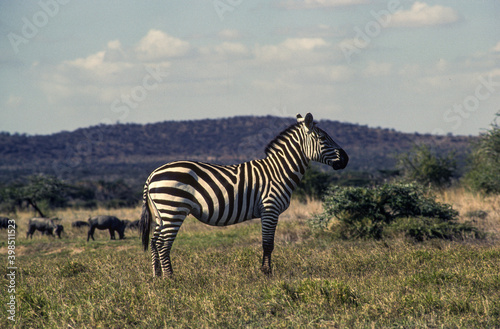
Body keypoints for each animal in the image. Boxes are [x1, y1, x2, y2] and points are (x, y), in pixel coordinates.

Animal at [139, 113, 346, 276]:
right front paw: (266, 272)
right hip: (174, 209)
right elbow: (268, 243)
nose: (346, 159)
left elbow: (268, 243)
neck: (279, 171)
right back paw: (171, 278)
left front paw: (266, 270)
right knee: (164, 244)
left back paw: (157, 276)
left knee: (154, 242)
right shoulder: (270, 209)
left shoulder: (268, 211)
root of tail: (153, 174)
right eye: (323, 138)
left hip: (161, 213)